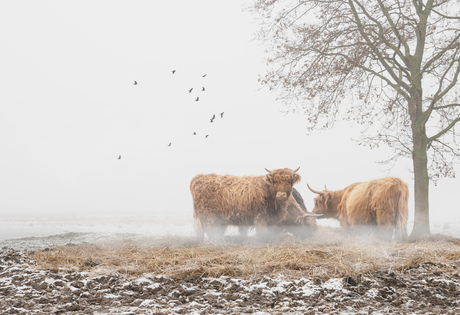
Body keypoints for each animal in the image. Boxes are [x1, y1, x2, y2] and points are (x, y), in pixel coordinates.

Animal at [190, 168, 320, 242]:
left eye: (289, 181)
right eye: (308, 225)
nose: (313, 235)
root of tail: (199, 177)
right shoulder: (261, 217)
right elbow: (263, 233)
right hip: (210, 216)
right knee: (212, 231)